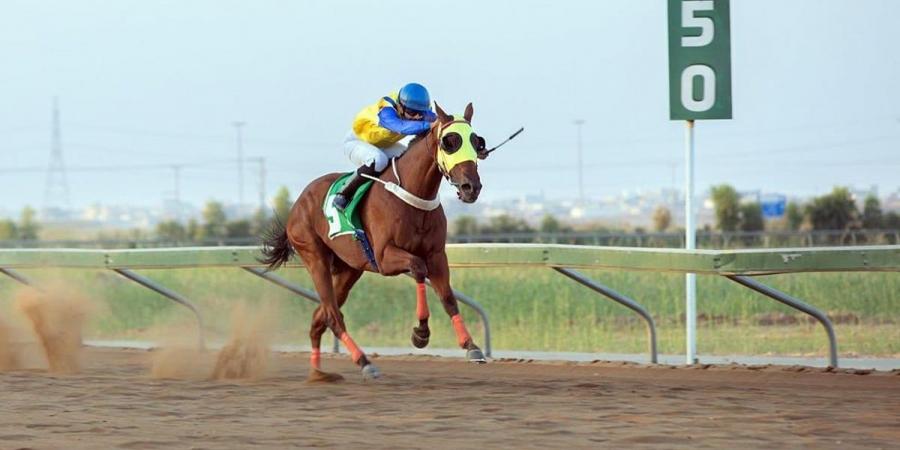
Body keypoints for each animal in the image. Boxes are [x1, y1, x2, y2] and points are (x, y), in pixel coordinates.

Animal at [258, 102, 486, 380]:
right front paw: (421, 333)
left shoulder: (436, 255)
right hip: (314, 257)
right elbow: (418, 268)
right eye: (449, 142)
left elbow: (448, 298)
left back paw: (318, 372)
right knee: (332, 316)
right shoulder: (385, 256)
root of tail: (297, 204)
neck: (413, 196)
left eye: (476, 142)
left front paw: (471, 346)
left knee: (319, 317)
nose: (470, 187)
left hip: (349, 269)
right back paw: (364, 362)